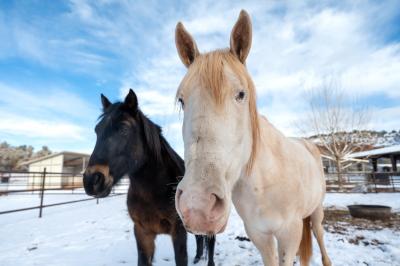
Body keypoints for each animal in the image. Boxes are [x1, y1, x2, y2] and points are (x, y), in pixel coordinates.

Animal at [83, 90, 216, 266]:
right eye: (97, 130)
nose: (92, 180)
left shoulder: (178, 232)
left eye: (124, 128)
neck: (154, 191)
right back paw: (197, 257)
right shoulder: (142, 232)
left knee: (211, 242)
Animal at [173, 9, 332, 264]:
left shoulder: (290, 233)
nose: (198, 206)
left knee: (319, 235)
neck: (264, 184)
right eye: (181, 100)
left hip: (316, 212)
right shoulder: (259, 234)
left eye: (241, 94)